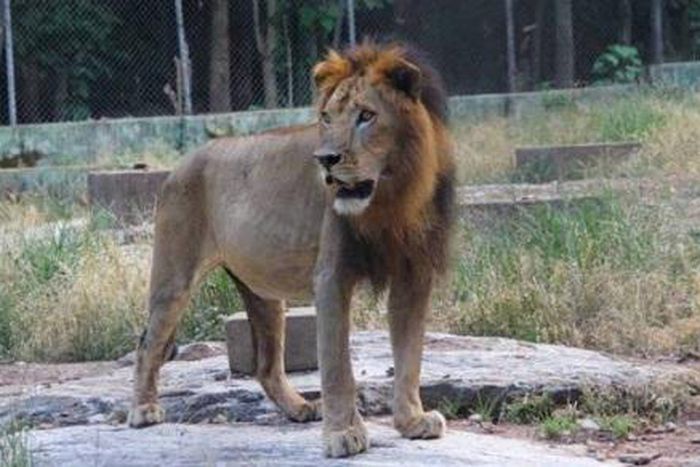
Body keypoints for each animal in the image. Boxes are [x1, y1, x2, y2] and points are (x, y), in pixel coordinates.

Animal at [127, 42, 455, 458]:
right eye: (326, 118)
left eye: (366, 116)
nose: (326, 159)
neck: (394, 200)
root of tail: (179, 163)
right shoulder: (331, 276)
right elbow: (337, 365)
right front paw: (343, 434)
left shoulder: (414, 277)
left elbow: (410, 356)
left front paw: (413, 422)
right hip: (174, 278)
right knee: (148, 344)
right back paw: (143, 410)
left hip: (264, 294)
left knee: (265, 366)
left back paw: (301, 408)